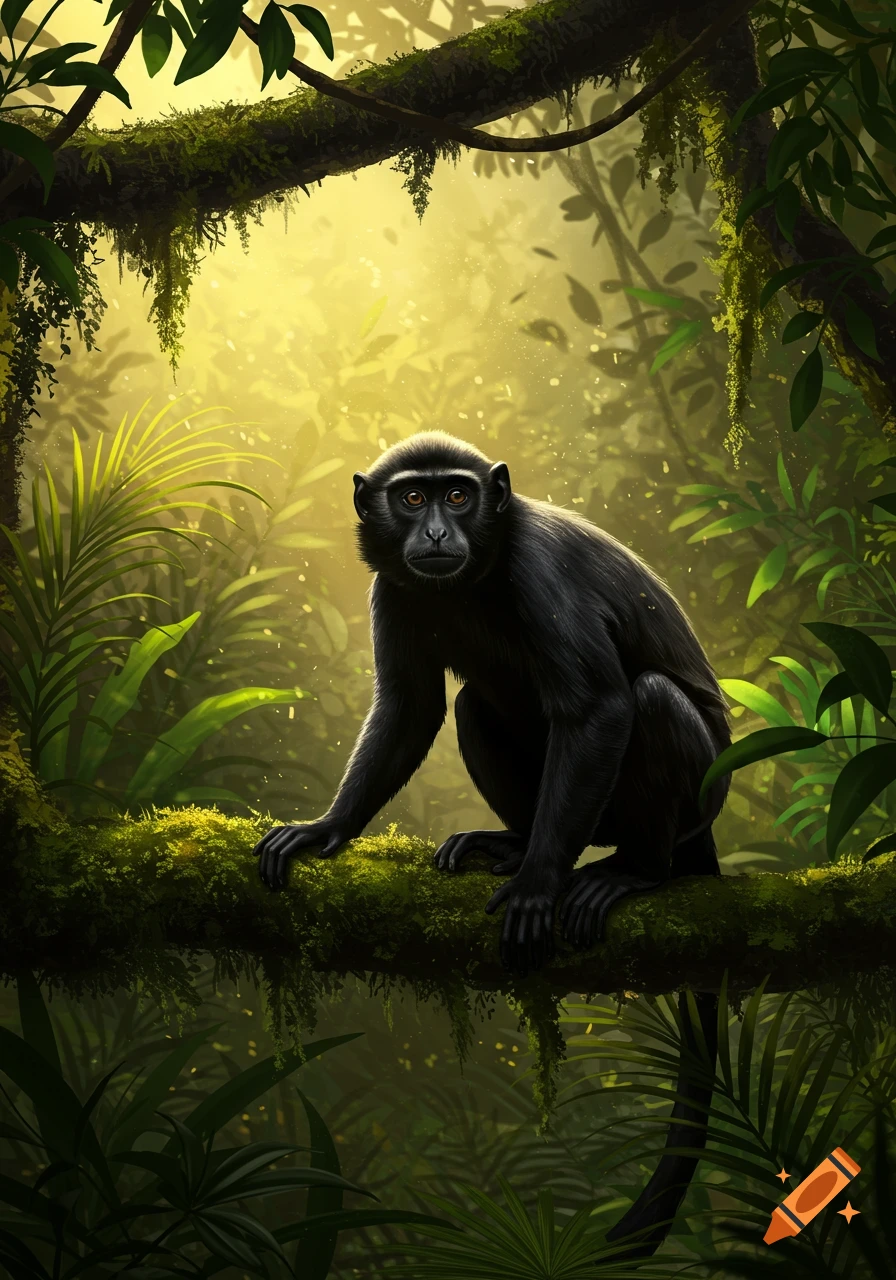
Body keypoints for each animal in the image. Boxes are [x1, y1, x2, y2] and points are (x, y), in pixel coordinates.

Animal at [253, 430, 729, 1256]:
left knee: (646, 700)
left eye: (458, 494)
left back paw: (633, 870)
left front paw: (538, 884)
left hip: (687, 800)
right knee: (477, 701)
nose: (438, 531)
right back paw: (509, 843)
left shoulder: (541, 571)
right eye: (412, 497)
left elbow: (597, 708)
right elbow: (410, 706)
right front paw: (327, 829)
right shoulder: (391, 591)